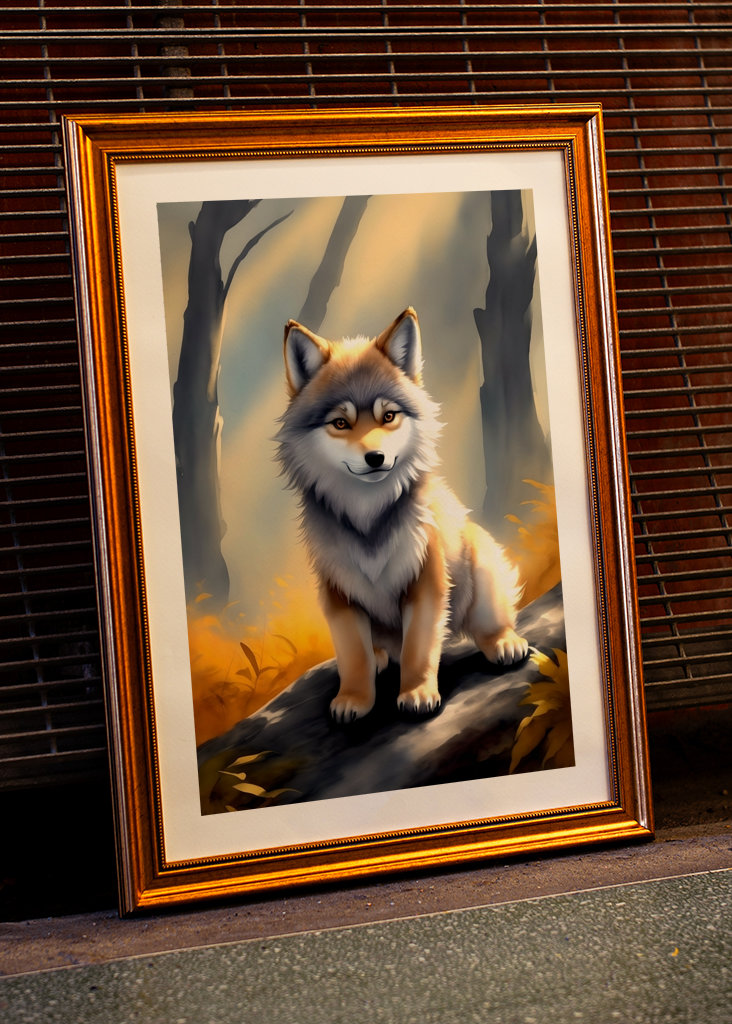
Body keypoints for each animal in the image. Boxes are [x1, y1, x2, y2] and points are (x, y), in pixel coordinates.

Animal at [276, 307, 528, 723]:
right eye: (341, 423)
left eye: (388, 416)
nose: (375, 457)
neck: (369, 519)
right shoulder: (338, 593)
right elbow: (353, 656)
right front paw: (354, 699)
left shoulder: (425, 581)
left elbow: (418, 650)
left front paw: (417, 693)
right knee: (378, 650)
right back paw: (380, 656)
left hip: (480, 562)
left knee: (487, 625)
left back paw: (504, 643)